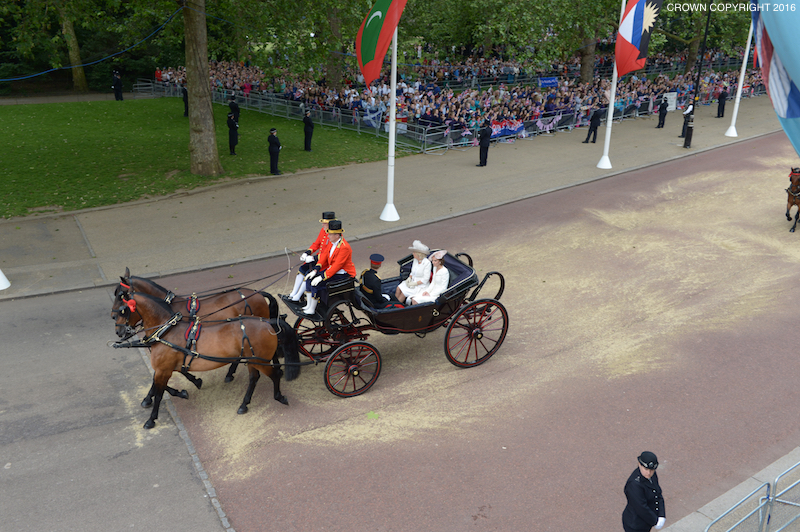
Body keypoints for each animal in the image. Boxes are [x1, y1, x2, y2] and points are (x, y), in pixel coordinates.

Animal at [112, 288, 300, 430]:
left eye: (122, 309)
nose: (119, 332)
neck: (166, 332)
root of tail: (266, 322)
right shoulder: (166, 368)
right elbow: (163, 385)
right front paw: (184, 389)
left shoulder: (163, 370)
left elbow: (159, 393)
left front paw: (151, 418)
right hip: (253, 359)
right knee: (254, 378)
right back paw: (244, 404)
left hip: (259, 360)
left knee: (274, 374)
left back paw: (279, 396)